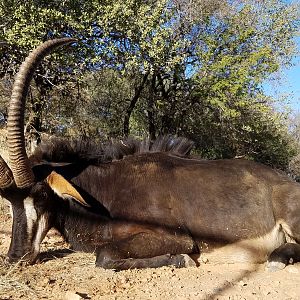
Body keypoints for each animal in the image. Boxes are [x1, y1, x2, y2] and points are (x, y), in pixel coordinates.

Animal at [1, 38, 300, 270]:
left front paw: (182, 260)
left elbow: (104, 255)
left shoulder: (180, 237)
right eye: (9, 201)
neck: (105, 190)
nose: (15, 257)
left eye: (41, 195)